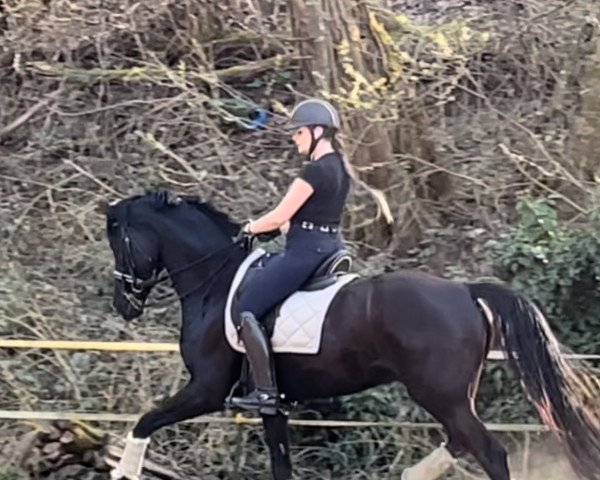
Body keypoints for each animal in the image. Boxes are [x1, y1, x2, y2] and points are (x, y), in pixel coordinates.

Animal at [103, 191, 600, 480]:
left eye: (118, 238)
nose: (124, 303)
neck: (217, 280)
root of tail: (464, 290)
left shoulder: (206, 390)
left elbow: (144, 421)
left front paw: (122, 471)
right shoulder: (271, 403)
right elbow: (280, 464)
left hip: (440, 394)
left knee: (490, 453)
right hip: (453, 396)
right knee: (460, 443)